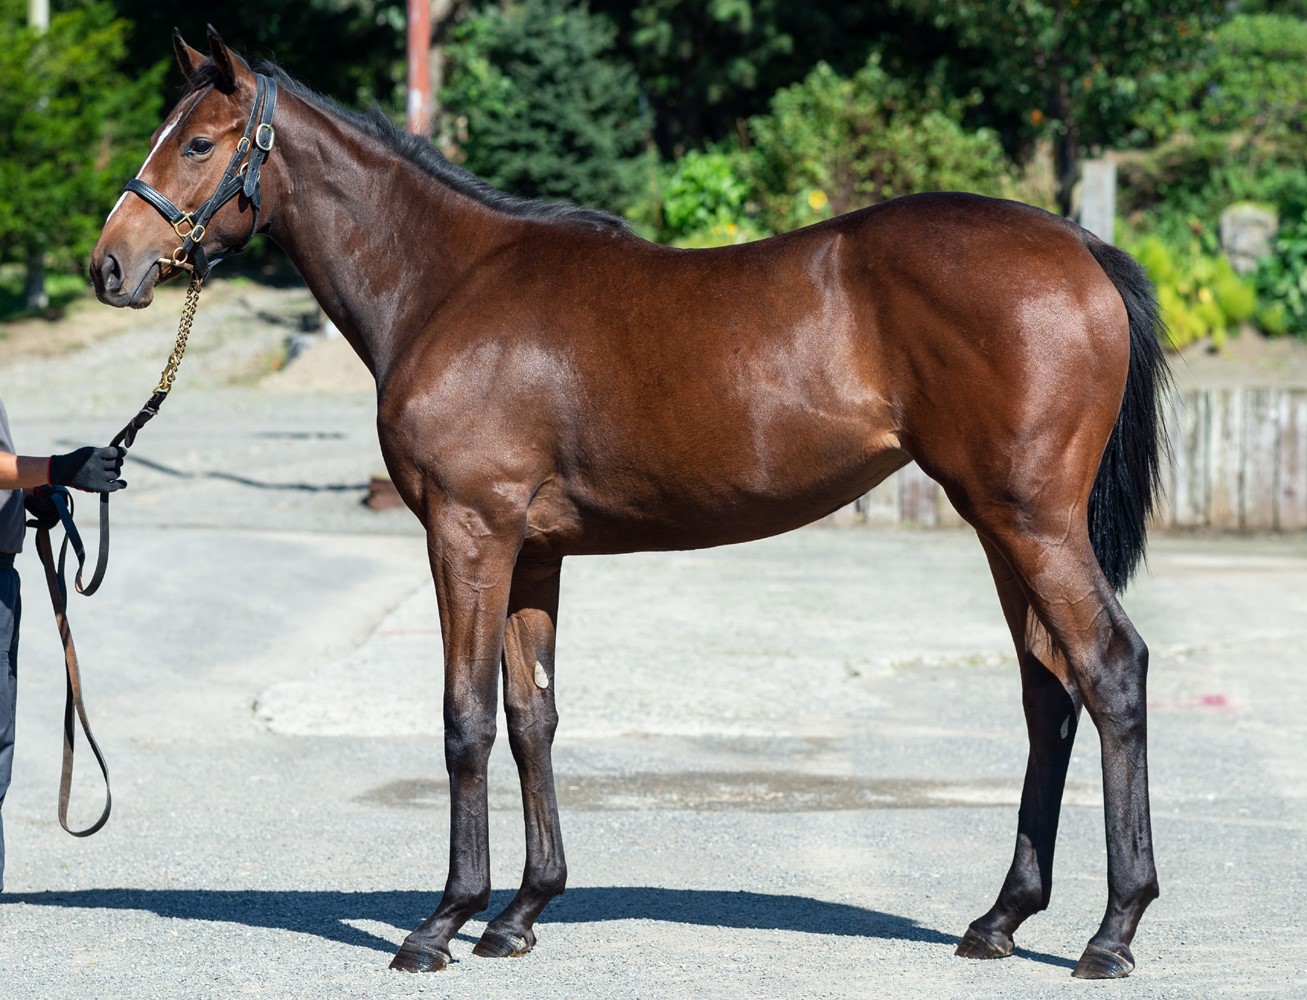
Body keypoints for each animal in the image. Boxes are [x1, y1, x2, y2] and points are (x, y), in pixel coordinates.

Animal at [90, 27, 1170, 980]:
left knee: (1110, 669)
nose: (110, 266)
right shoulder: (530, 551)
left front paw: (440, 923)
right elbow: (532, 715)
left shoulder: (467, 532)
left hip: (1029, 520)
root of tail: (1078, 246)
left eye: (197, 143)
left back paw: (1111, 932)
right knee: (1046, 690)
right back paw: (999, 919)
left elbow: (463, 719)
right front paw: (519, 913)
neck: (448, 286)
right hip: (998, 525)